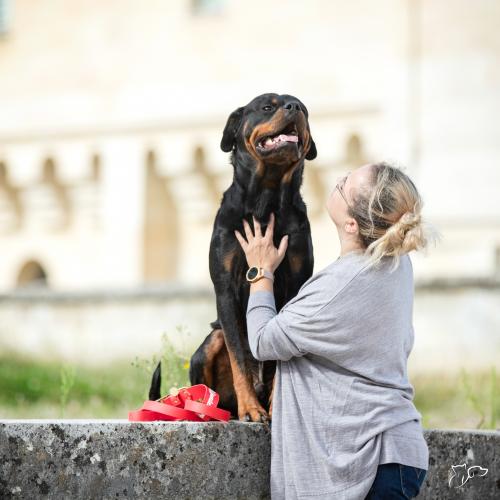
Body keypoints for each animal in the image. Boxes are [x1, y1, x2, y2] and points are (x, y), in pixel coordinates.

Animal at [148, 93, 318, 422]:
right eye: (268, 106)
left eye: (303, 108)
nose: (293, 108)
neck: (267, 199)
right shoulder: (225, 287)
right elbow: (240, 358)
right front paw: (251, 409)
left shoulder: (296, 284)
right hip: (211, 343)